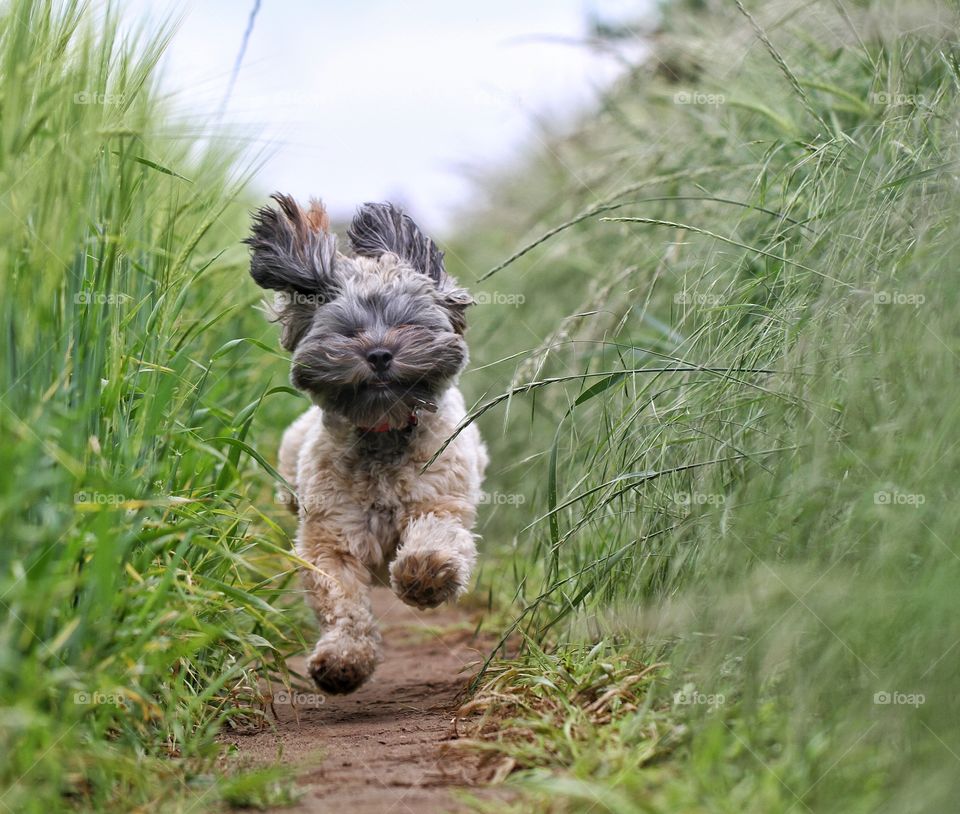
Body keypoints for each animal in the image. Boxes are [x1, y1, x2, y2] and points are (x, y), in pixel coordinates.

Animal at [248, 196, 488, 696]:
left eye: (406, 323)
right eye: (347, 331)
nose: (379, 354)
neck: (383, 432)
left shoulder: (440, 500)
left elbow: (437, 536)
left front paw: (423, 576)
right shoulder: (331, 535)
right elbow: (341, 600)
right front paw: (344, 659)